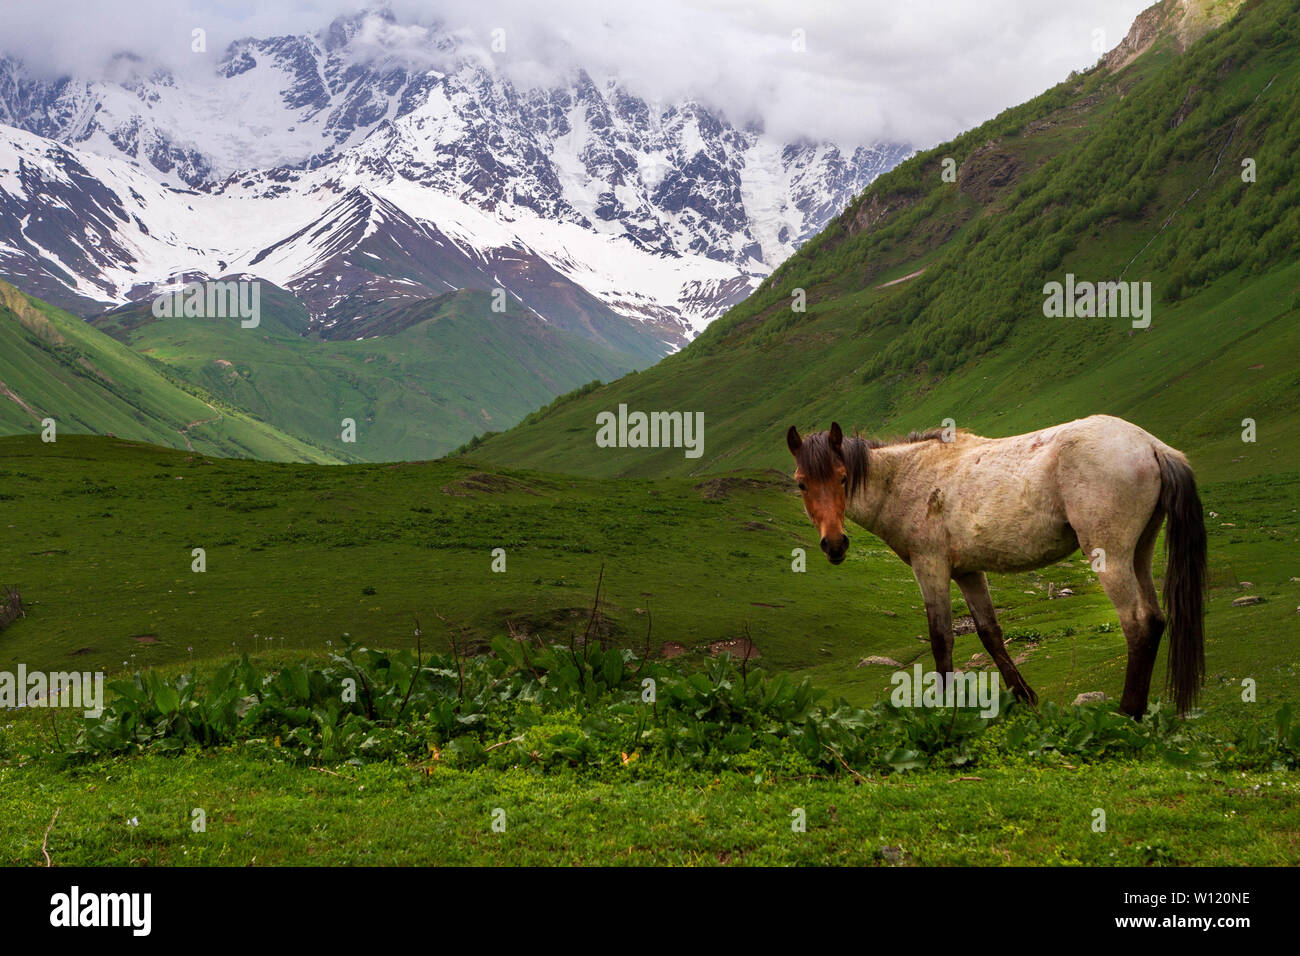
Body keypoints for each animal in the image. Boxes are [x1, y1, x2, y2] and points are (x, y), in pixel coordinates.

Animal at [790, 413, 1206, 717]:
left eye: (843, 478)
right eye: (802, 484)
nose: (835, 544)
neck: (906, 477)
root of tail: (1151, 445)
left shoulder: (930, 567)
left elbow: (941, 639)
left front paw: (945, 708)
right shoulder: (968, 572)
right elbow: (990, 633)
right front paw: (1024, 698)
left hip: (1110, 556)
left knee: (1138, 623)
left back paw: (1127, 712)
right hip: (1140, 553)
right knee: (1155, 618)